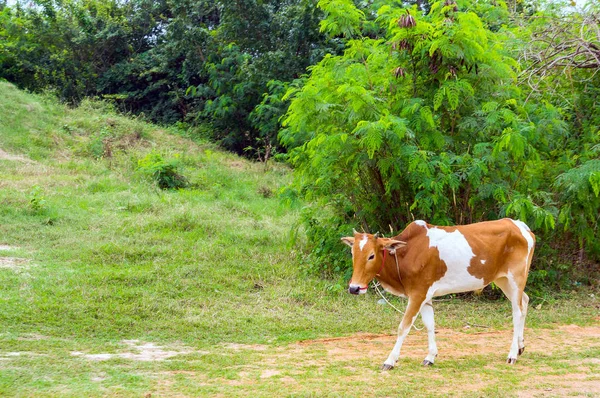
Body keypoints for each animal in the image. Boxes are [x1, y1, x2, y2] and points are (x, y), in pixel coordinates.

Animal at [342, 218, 536, 370]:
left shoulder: (418, 294)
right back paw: (520, 346)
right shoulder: (425, 295)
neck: (406, 253)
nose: (354, 288)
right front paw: (430, 356)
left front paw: (390, 360)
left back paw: (512, 354)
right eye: (353, 254)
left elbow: (403, 327)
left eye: (371, 255)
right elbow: (430, 324)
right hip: (503, 280)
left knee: (517, 312)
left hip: (516, 278)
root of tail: (520, 226)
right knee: (525, 302)